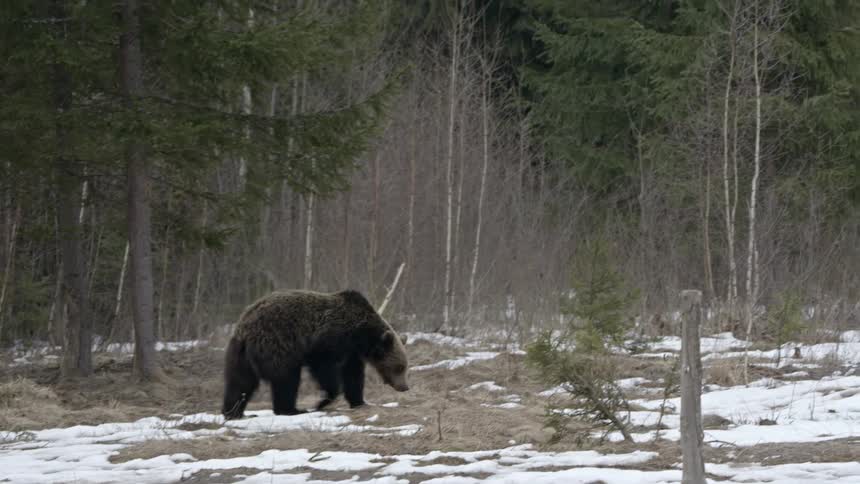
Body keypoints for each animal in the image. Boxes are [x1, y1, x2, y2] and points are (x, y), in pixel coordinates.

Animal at [221, 289, 409, 420]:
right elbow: (325, 368)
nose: (405, 387)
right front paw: (323, 400)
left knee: (240, 382)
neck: (361, 335)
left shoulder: (352, 352)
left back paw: (233, 412)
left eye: (404, 367)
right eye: (399, 367)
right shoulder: (328, 340)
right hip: (277, 345)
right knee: (286, 379)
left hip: (239, 354)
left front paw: (360, 402)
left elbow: (353, 376)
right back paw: (292, 410)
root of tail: (246, 327)